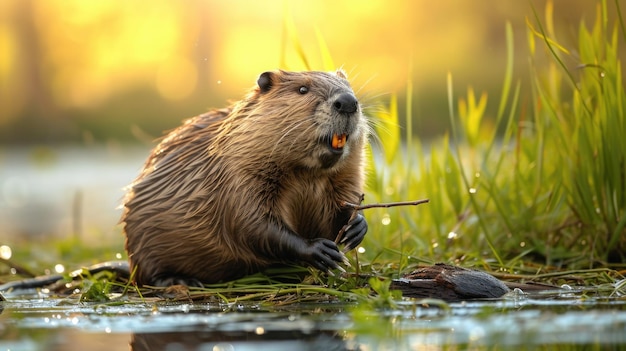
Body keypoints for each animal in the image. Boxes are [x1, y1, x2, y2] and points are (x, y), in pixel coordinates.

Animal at [120, 70, 368, 288]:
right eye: (302, 89)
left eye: (348, 87)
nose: (347, 101)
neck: (306, 173)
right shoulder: (236, 176)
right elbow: (252, 223)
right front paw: (318, 250)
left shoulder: (345, 176)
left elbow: (343, 199)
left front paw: (356, 226)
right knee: (148, 276)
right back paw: (180, 281)